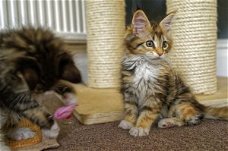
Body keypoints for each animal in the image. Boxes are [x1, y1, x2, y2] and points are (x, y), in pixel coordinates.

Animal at [118, 9, 227, 137]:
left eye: (164, 45)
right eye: (149, 43)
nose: (160, 53)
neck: (145, 65)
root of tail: (197, 104)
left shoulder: (156, 93)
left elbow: (147, 113)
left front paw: (140, 127)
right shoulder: (129, 90)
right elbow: (130, 108)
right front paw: (129, 122)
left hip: (179, 103)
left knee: (193, 119)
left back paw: (166, 122)